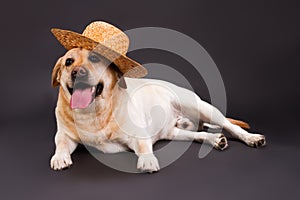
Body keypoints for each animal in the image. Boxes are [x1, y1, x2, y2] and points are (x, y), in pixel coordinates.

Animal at [49, 47, 268, 173]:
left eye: (94, 58)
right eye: (69, 62)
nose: (77, 72)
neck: (93, 113)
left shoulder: (138, 136)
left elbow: (144, 147)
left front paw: (147, 159)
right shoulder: (64, 135)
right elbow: (61, 143)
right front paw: (60, 156)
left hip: (205, 108)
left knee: (231, 127)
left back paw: (251, 138)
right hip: (174, 133)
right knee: (197, 134)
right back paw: (214, 139)